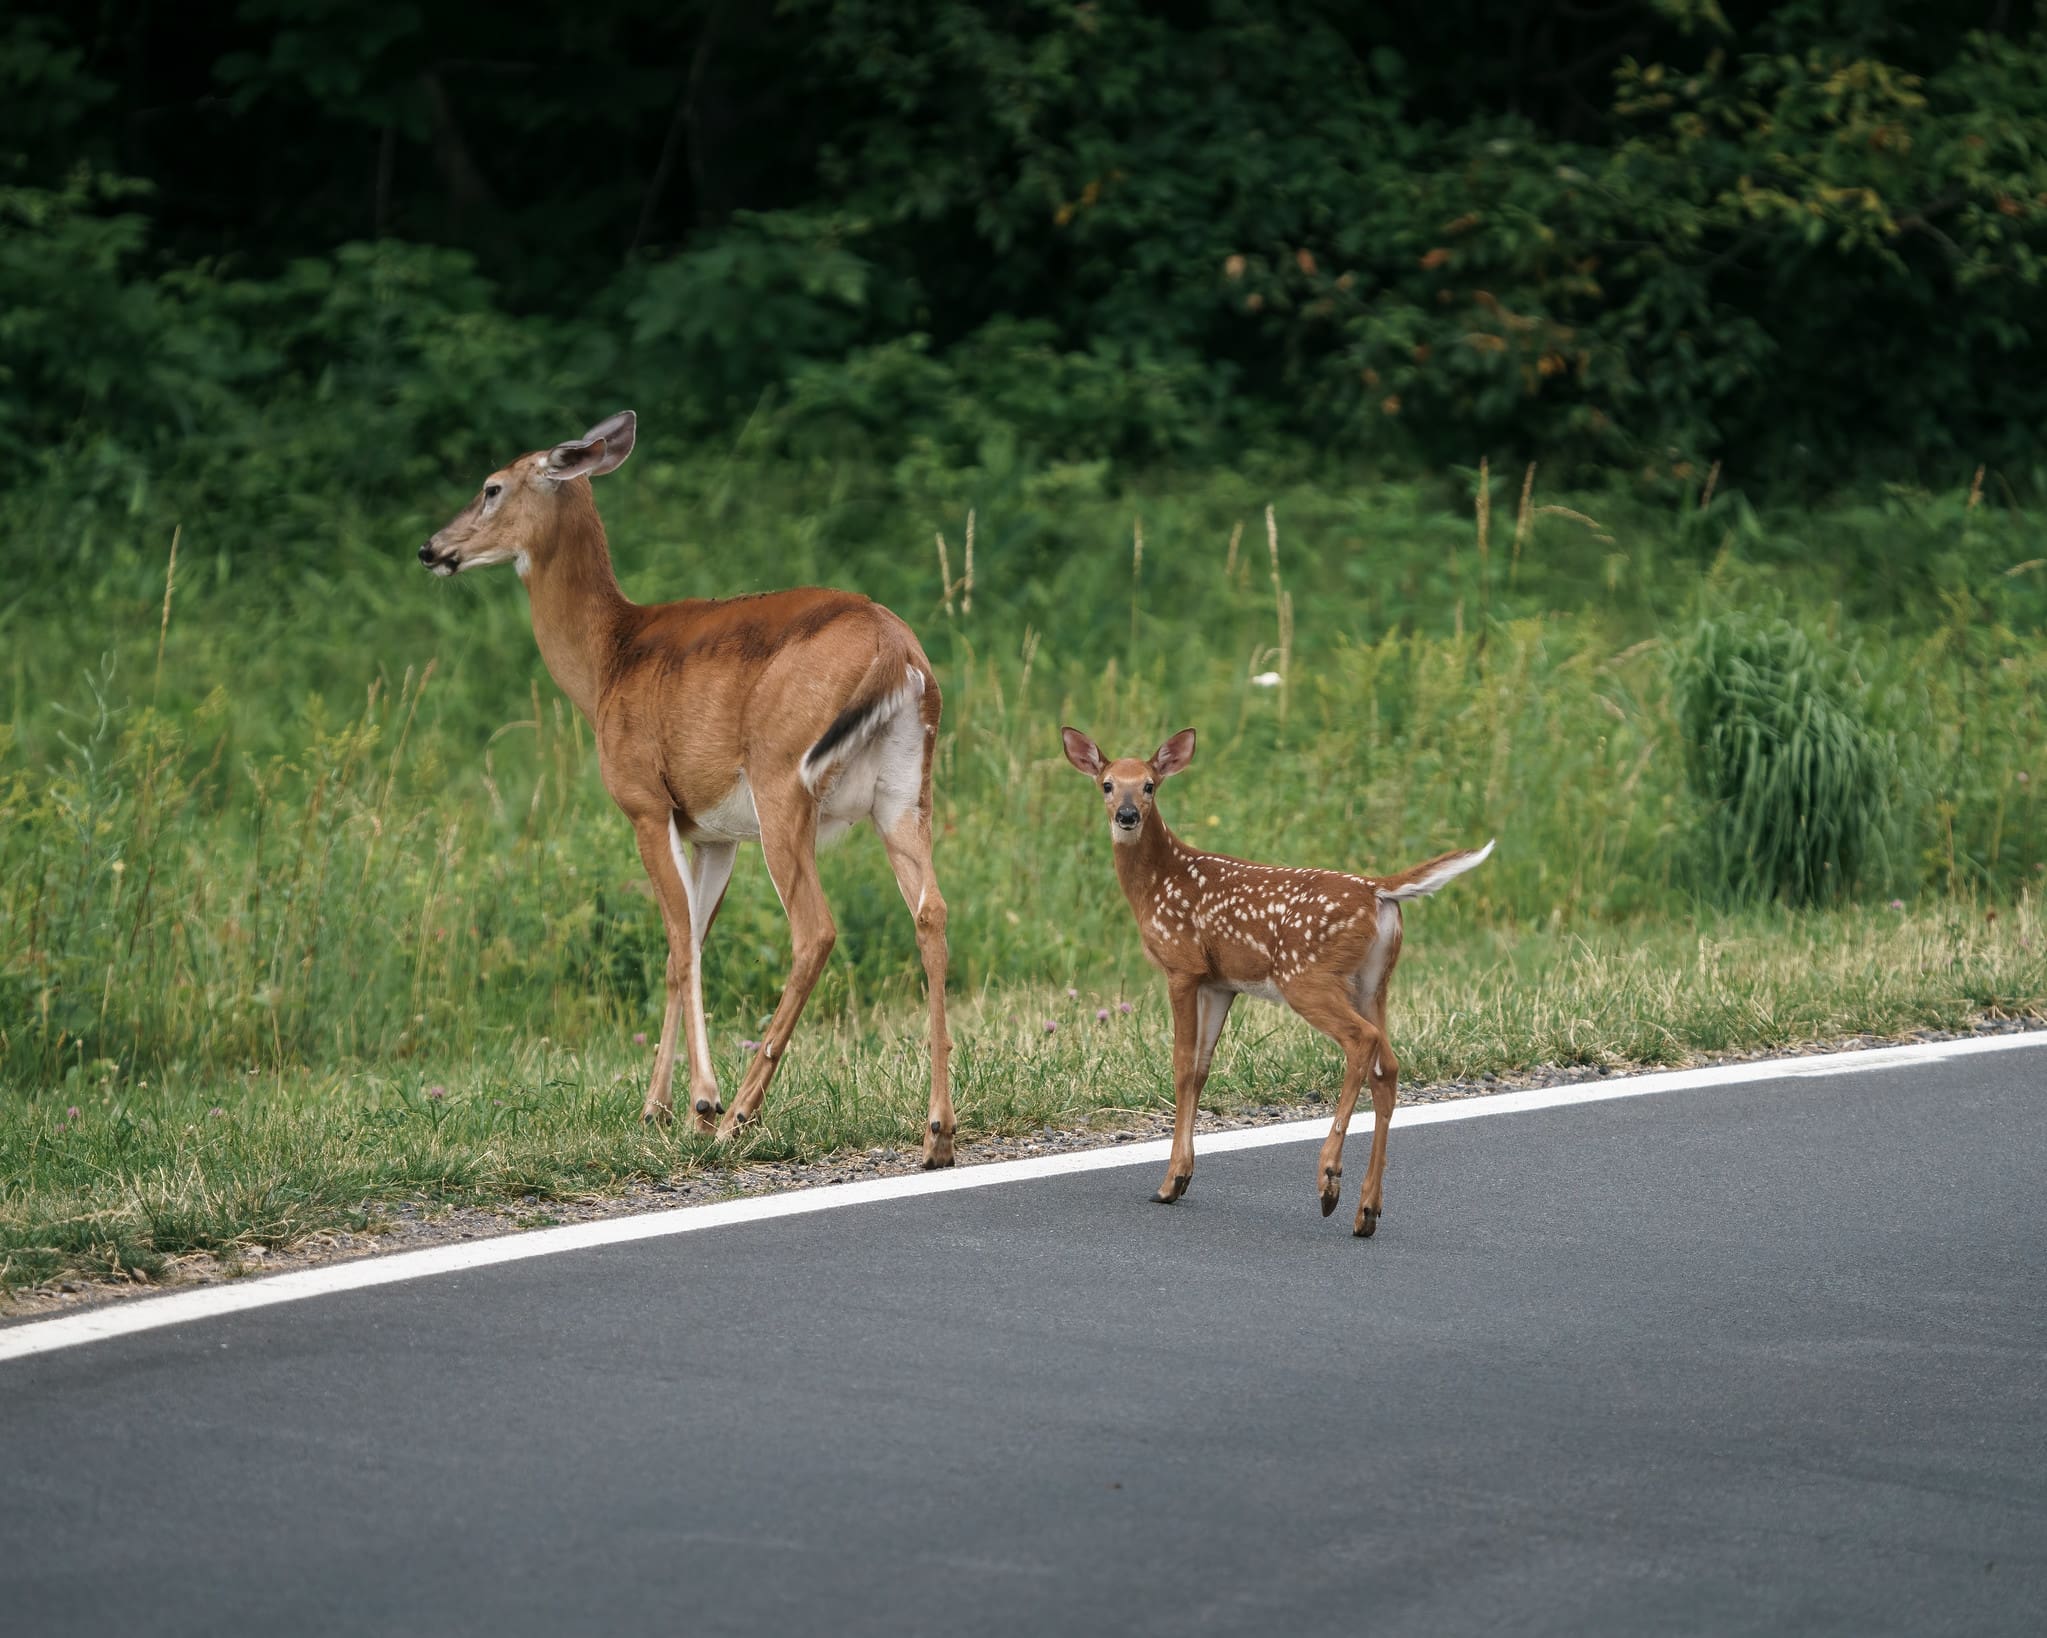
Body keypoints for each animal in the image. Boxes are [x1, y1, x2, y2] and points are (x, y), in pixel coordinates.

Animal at [420, 412, 956, 1167]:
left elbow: (677, 942)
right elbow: (693, 945)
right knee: (931, 913)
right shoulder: (713, 834)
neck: (606, 660)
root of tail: (897, 652)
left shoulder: (645, 804)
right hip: (905, 792)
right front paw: (662, 1107)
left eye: (492, 487)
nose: (431, 548)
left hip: (782, 779)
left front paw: (694, 1104)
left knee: (815, 930)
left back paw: (742, 1114)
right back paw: (938, 1131)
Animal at [1061, 726, 1493, 1235]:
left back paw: (1329, 1180)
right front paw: (1183, 1176)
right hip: (1372, 983)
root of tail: (1377, 890)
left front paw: (1168, 1184)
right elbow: (1202, 1068)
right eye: (1107, 784)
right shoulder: (1219, 981)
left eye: (1150, 785)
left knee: (1362, 1042)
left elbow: (1182, 1065)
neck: (1157, 885)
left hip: (1305, 976)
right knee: (1388, 1065)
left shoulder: (1182, 966)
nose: (1127, 816)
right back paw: (1367, 1211)